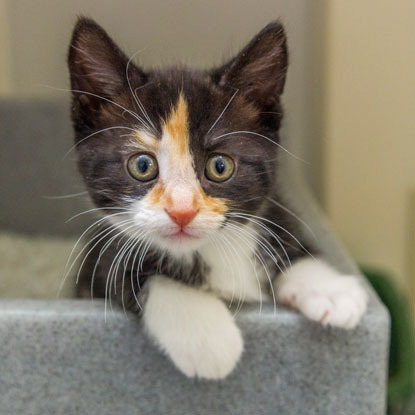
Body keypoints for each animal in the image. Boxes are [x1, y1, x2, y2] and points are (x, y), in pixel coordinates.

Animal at [67, 17, 368, 380]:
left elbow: (291, 245)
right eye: (142, 165)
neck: (211, 251)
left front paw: (330, 290)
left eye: (220, 166)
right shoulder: (95, 262)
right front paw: (205, 335)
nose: (182, 211)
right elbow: (139, 275)